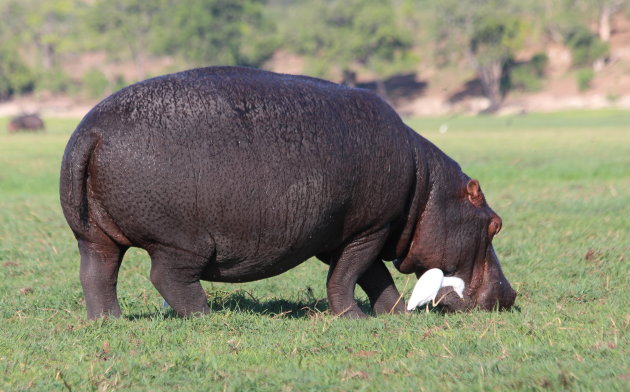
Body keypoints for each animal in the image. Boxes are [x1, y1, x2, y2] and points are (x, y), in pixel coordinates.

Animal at [59, 66, 516, 318]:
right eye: (495, 224)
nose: (511, 295)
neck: (428, 190)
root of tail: (92, 131)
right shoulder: (371, 228)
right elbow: (348, 277)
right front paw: (356, 319)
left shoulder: (352, 234)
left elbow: (374, 277)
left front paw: (396, 314)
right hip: (180, 242)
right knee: (168, 277)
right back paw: (206, 317)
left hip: (93, 236)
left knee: (97, 274)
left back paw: (108, 321)